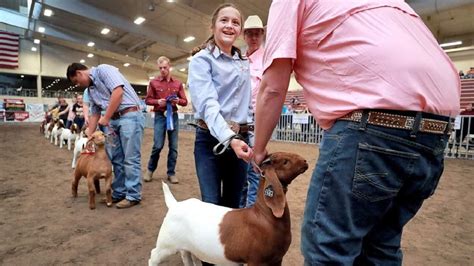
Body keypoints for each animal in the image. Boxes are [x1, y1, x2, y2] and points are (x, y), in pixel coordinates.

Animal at [150, 152, 310, 266]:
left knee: (188, 257)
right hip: (166, 244)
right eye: (285, 161)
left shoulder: (277, 260)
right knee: (153, 256)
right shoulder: (256, 261)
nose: (305, 161)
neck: (264, 216)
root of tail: (175, 205)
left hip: (188, 247)